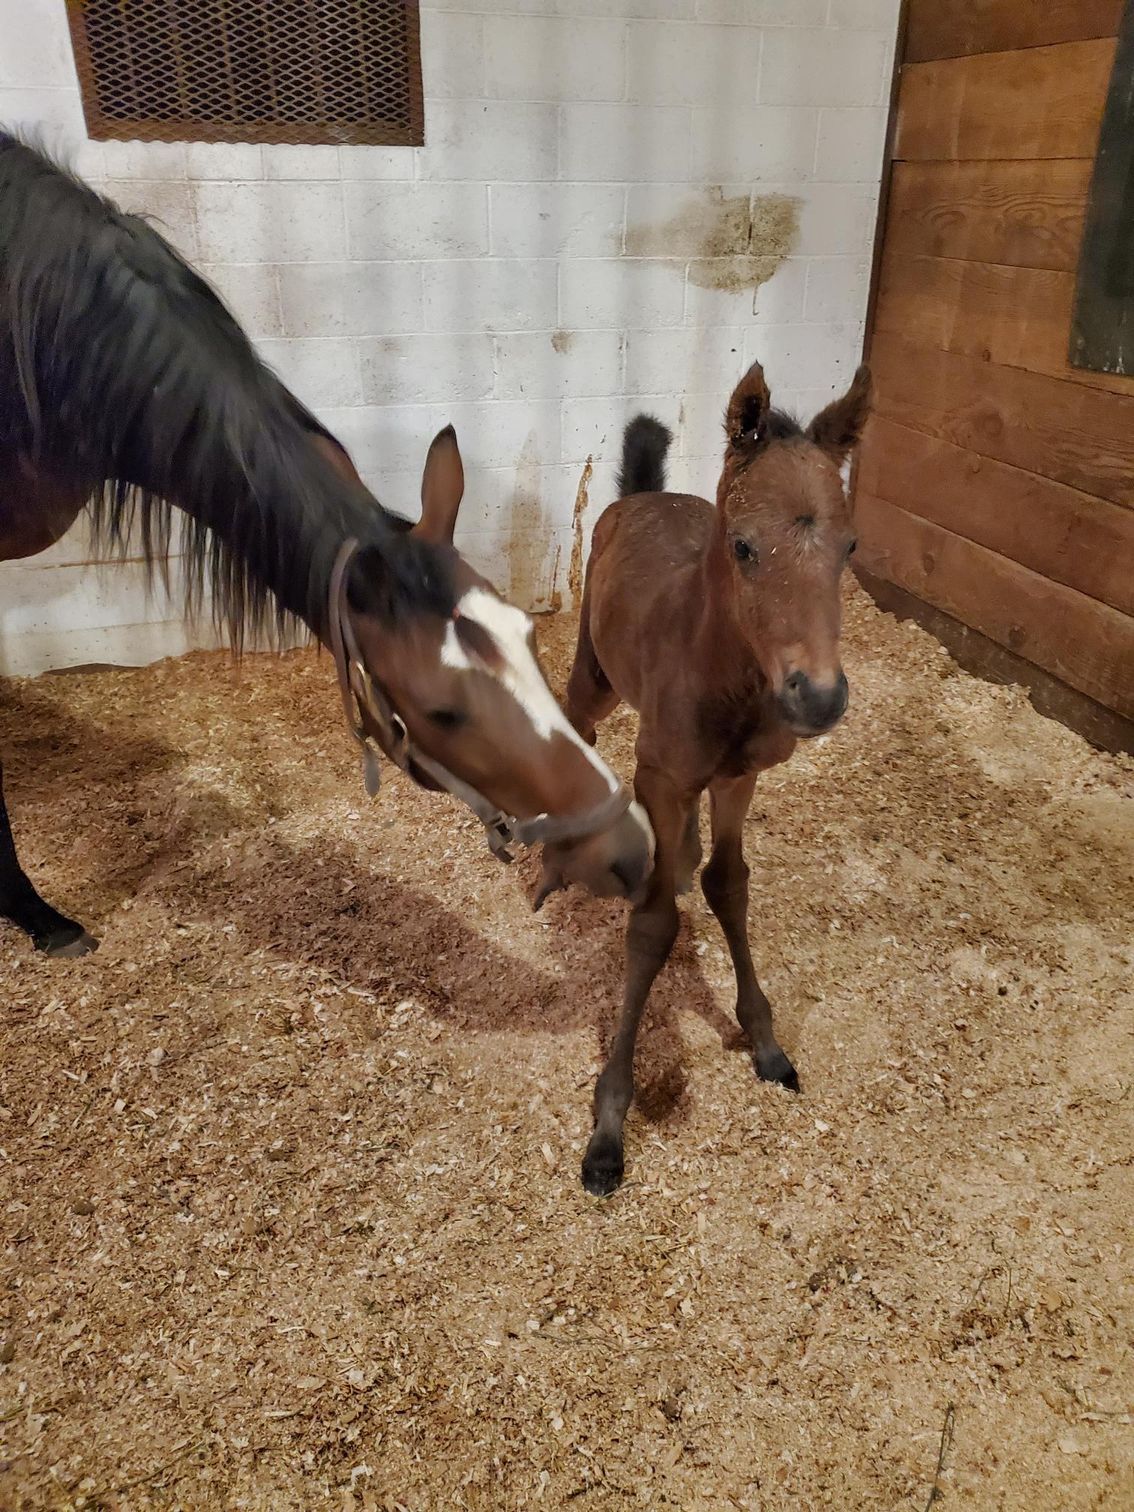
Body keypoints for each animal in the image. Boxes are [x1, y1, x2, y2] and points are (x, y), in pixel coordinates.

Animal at [552, 360, 872, 1194]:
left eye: (850, 545)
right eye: (743, 546)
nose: (818, 696)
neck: (725, 676)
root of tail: (642, 494)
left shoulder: (739, 778)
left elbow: (729, 884)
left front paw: (766, 1043)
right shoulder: (659, 774)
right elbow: (653, 924)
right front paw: (609, 1123)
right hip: (596, 675)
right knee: (576, 724)